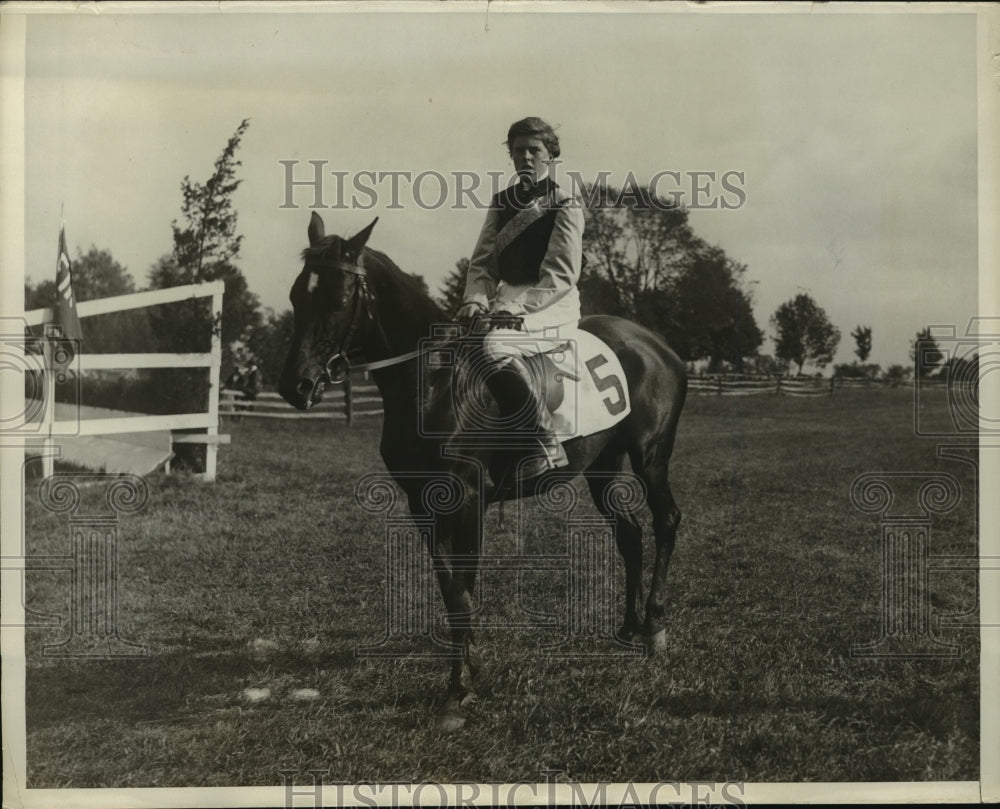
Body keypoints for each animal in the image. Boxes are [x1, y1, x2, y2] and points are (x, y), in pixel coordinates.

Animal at [280, 211, 688, 728]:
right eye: (296, 295)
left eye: (336, 298)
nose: (294, 386)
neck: (435, 382)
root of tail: (658, 344)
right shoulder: (421, 506)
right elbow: (452, 591)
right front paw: (468, 672)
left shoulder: (469, 500)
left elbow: (462, 593)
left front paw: (459, 689)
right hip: (602, 468)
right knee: (630, 534)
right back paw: (630, 628)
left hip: (651, 456)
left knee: (665, 521)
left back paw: (654, 628)